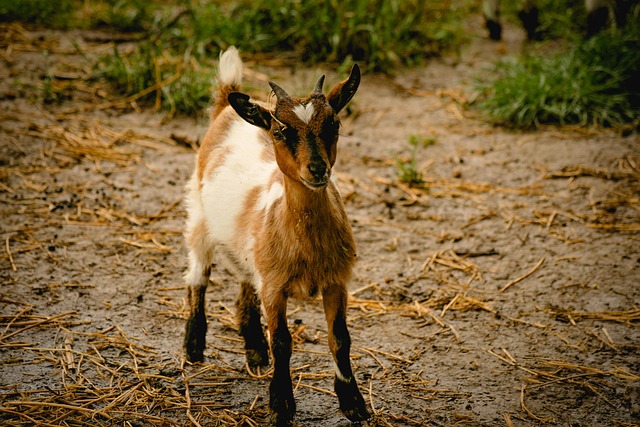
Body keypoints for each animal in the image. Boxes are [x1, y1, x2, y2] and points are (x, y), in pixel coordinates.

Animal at [182, 47, 370, 427]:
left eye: (334, 123)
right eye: (282, 130)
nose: (317, 169)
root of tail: (227, 101)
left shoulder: (336, 282)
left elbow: (340, 339)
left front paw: (352, 401)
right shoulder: (274, 287)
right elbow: (283, 341)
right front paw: (281, 403)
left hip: (249, 251)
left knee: (244, 283)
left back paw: (254, 350)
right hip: (199, 215)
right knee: (197, 274)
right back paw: (194, 346)